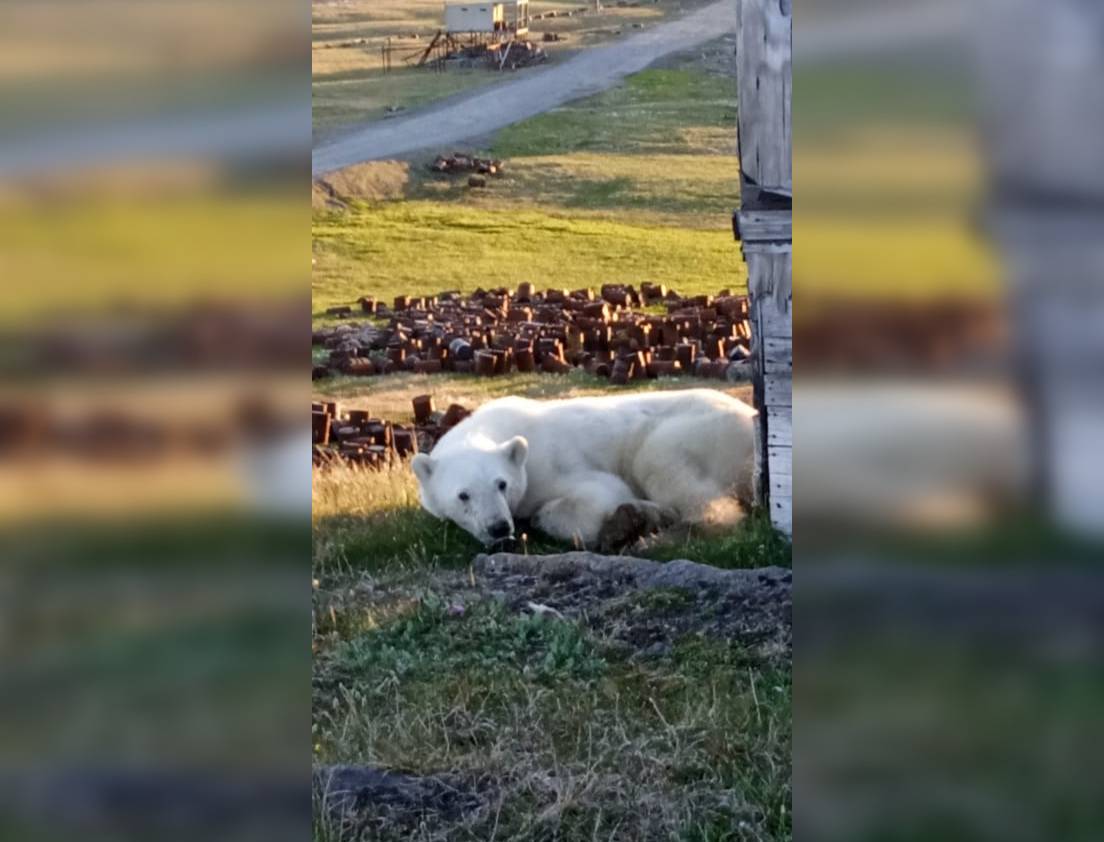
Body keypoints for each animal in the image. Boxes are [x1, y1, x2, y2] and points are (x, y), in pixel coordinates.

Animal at [412, 392, 759, 549]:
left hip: (698, 432)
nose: (499, 528)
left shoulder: (550, 464)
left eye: (502, 484)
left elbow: (598, 494)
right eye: (463, 495)